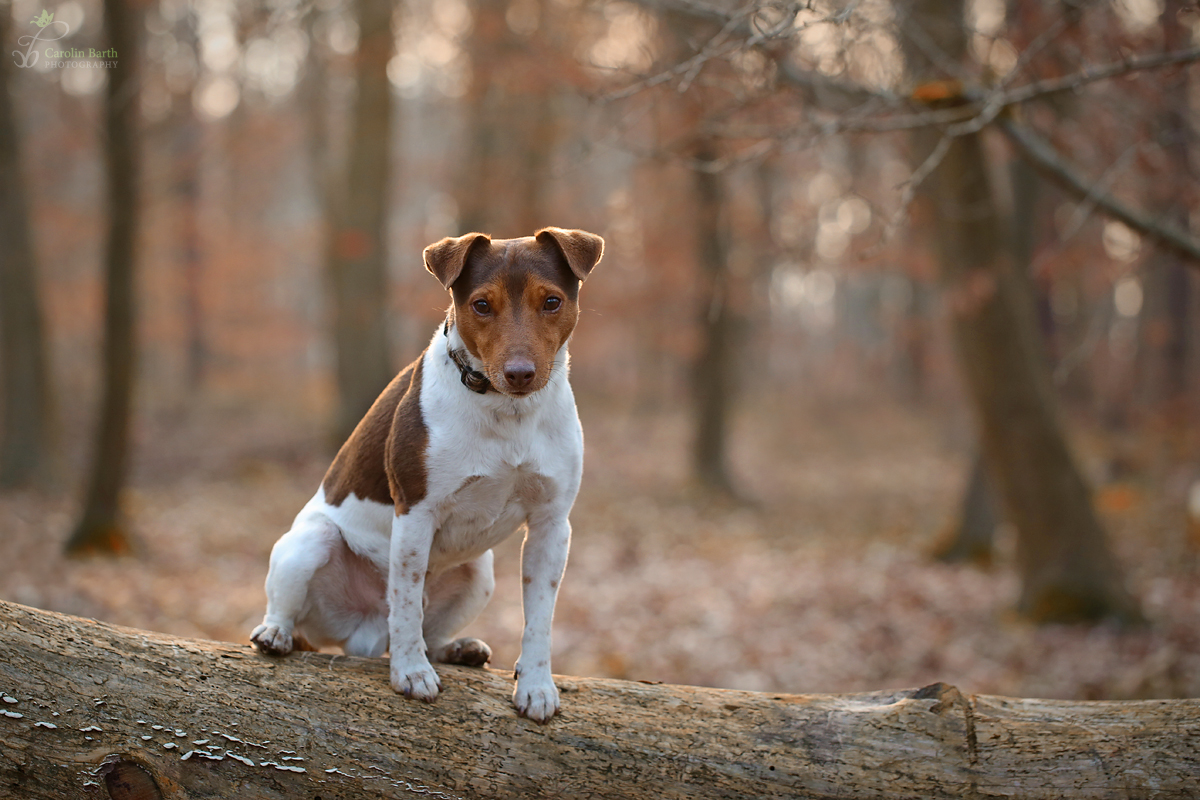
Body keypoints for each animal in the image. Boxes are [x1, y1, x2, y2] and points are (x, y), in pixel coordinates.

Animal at [249, 227, 604, 724]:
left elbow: (539, 619)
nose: (519, 373)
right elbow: (405, 603)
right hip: (312, 541)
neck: (507, 415)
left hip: (480, 571)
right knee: (296, 617)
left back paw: (457, 649)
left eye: (552, 302)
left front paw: (536, 686)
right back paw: (276, 634)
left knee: (434, 632)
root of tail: (364, 636)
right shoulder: (415, 513)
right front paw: (410, 672)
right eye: (481, 305)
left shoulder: (551, 526)